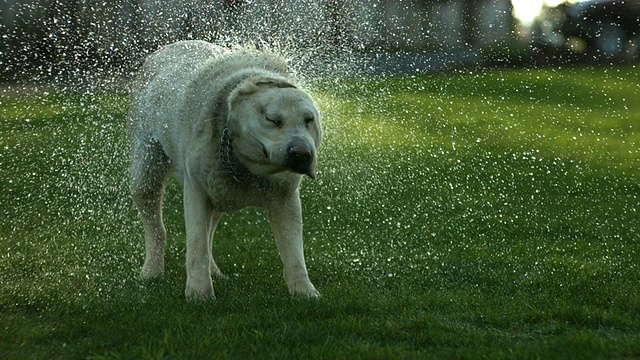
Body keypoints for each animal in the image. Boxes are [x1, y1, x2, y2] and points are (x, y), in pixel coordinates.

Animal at [127, 40, 322, 298]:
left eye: (309, 120)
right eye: (273, 119)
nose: (301, 153)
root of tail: (168, 47)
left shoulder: (285, 197)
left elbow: (294, 251)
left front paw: (304, 291)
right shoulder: (197, 189)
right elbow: (196, 244)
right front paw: (199, 294)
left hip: (218, 189)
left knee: (211, 225)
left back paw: (214, 271)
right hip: (147, 167)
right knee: (155, 222)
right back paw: (152, 271)